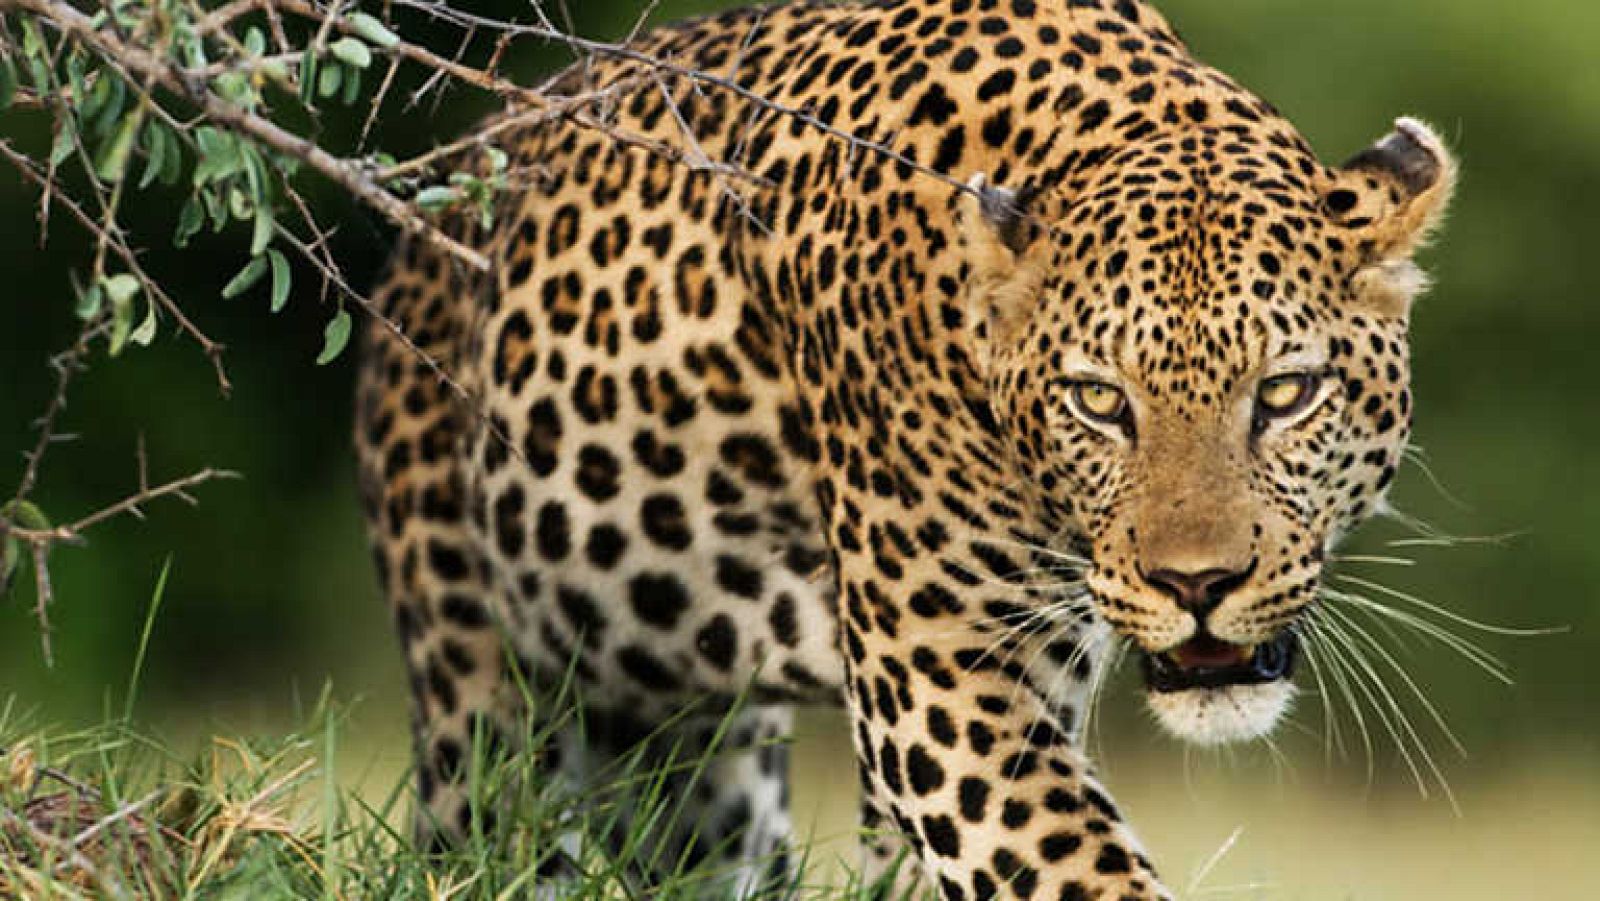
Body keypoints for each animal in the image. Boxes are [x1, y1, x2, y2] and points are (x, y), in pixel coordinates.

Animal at [354, 0, 1456, 896]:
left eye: (1285, 393)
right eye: (1099, 401)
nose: (1196, 584)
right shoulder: (944, 669)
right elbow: (1079, 873)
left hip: (697, 760)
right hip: (481, 696)